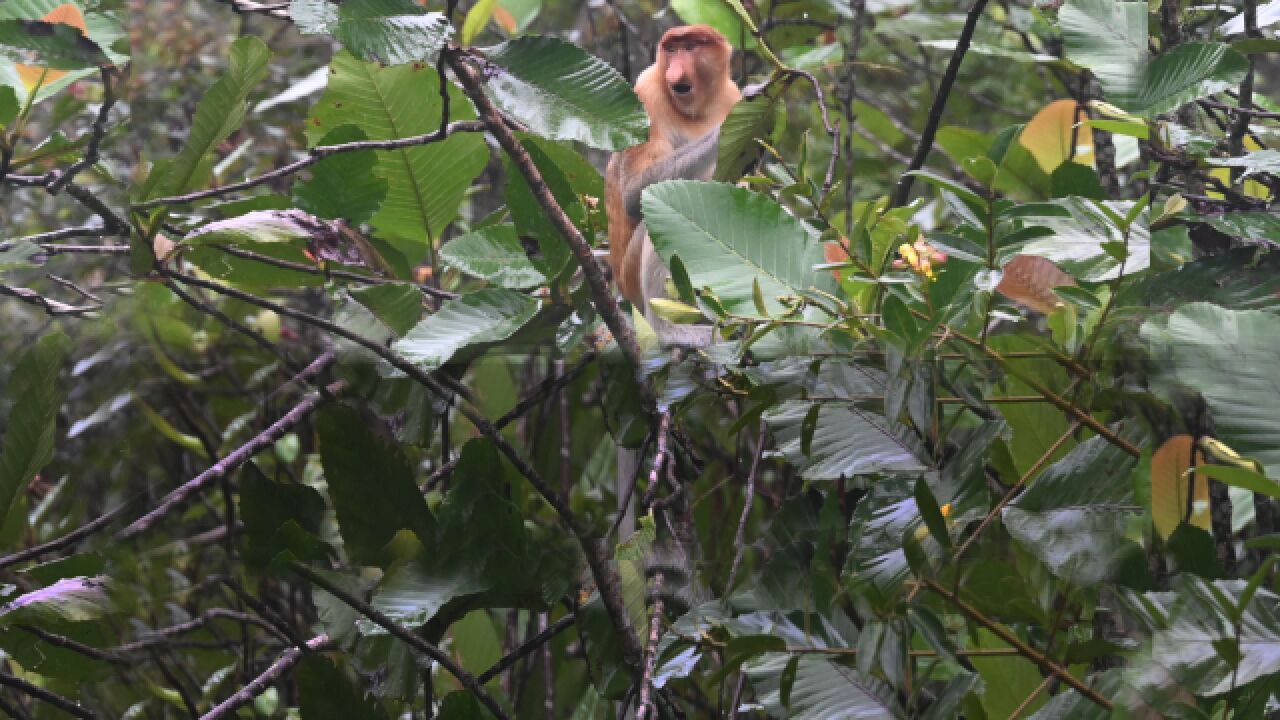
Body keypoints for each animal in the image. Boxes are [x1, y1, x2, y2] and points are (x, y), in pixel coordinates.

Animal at [606, 25, 742, 333]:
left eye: (690, 47)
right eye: (671, 49)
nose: (674, 71)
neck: (700, 110)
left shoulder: (731, 94)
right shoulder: (647, 93)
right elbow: (633, 194)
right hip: (632, 278)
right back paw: (672, 333)